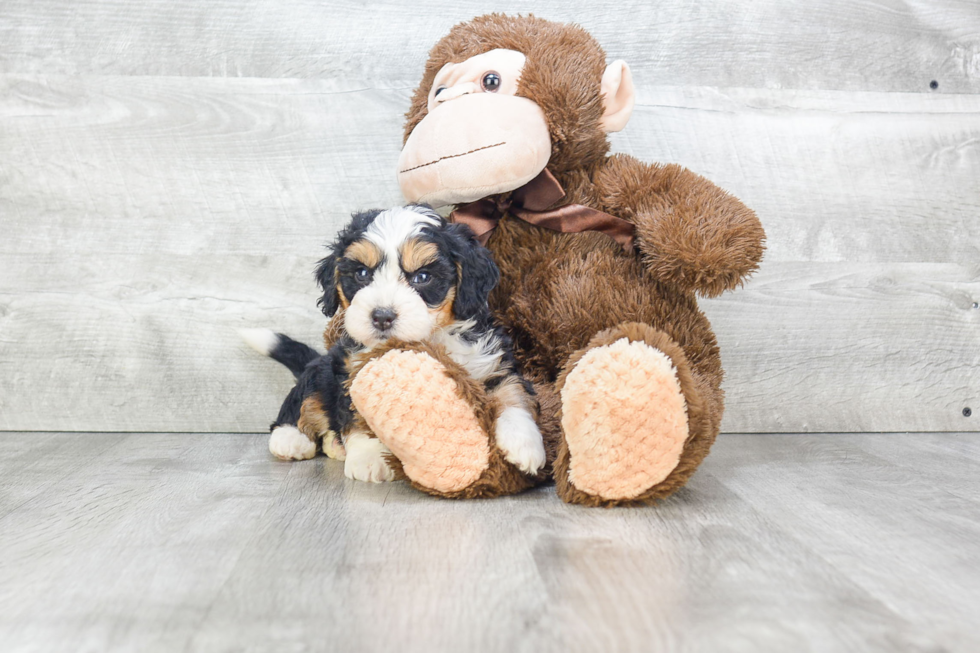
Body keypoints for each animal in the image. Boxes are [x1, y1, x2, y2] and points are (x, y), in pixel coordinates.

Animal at [242, 206, 548, 482]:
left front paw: (524, 445)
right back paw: (290, 437)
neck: (428, 338)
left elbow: (513, 394)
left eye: (422, 277)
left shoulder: (491, 362)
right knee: (304, 399)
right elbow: (358, 416)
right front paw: (369, 458)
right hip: (323, 369)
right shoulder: (352, 370)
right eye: (362, 274)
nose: (382, 316)